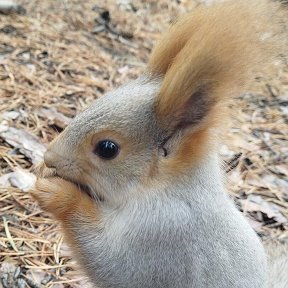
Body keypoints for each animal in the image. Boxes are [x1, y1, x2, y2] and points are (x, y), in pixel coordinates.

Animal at [30, 0, 286, 288]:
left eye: (107, 148)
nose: (50, 157)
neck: (162, 187)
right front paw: (43, 169)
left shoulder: (164, 234)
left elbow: (112, 261)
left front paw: (57, 193)